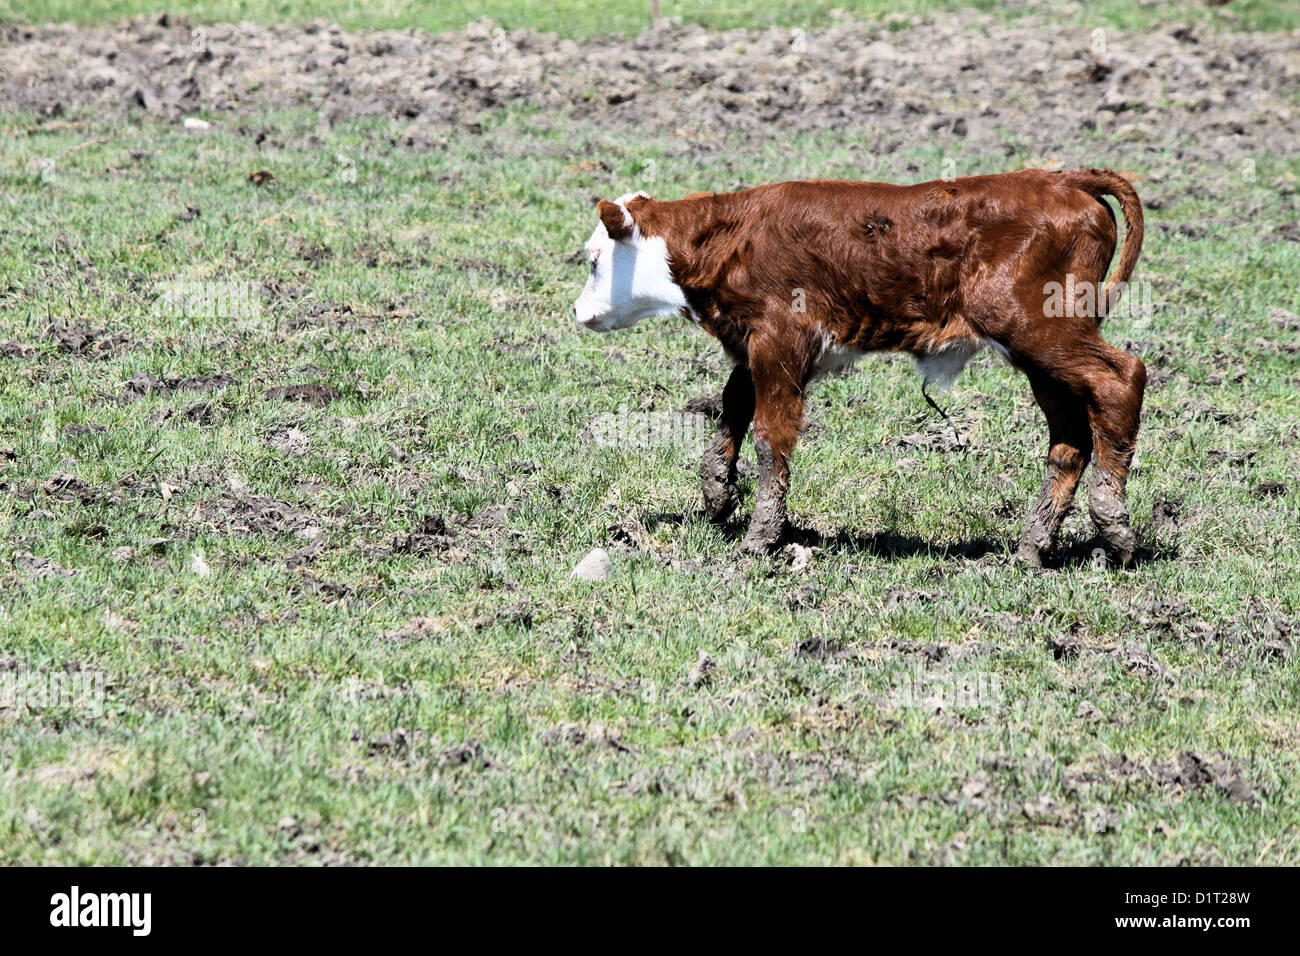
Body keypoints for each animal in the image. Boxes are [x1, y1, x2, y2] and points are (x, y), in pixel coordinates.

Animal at [572, 169, 1146, 567]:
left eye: (596, 260)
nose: (578, 311)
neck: (731, 236)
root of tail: (1060, 178)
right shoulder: (764, 347)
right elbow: (733, 404)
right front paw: (717, 493)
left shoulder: (780, 340)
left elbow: (770, 435)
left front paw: (761, 537)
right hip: (1043, 360)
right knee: (1069, 437)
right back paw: (1032, 547)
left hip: (1040, 329)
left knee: (1121, 378)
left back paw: (1113, 525)